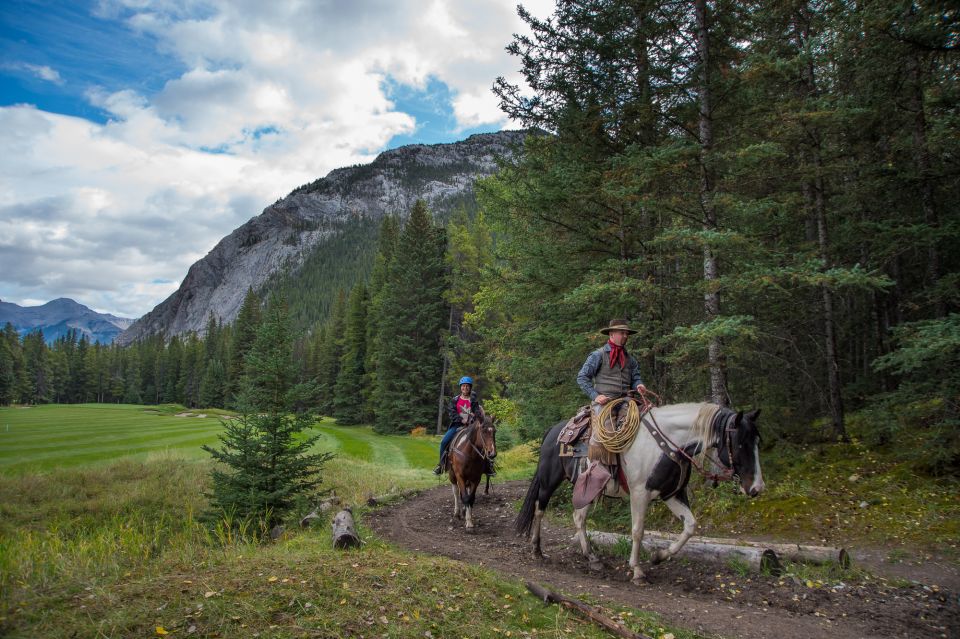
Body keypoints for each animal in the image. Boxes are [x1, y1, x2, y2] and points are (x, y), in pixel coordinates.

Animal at [516, 404, 764, 584]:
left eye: (756, 442)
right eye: (740, 443)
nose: (756, 488)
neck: (666, 446)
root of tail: (553, 431)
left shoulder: (672, 494)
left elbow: (690, 526)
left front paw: (659, 556)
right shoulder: (639, 494)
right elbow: (637, 531)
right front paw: (637, 571)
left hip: (586, 489)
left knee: (578, 518)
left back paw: (592, 558)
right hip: (549, 482)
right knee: (540, 509)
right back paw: (536, 549)